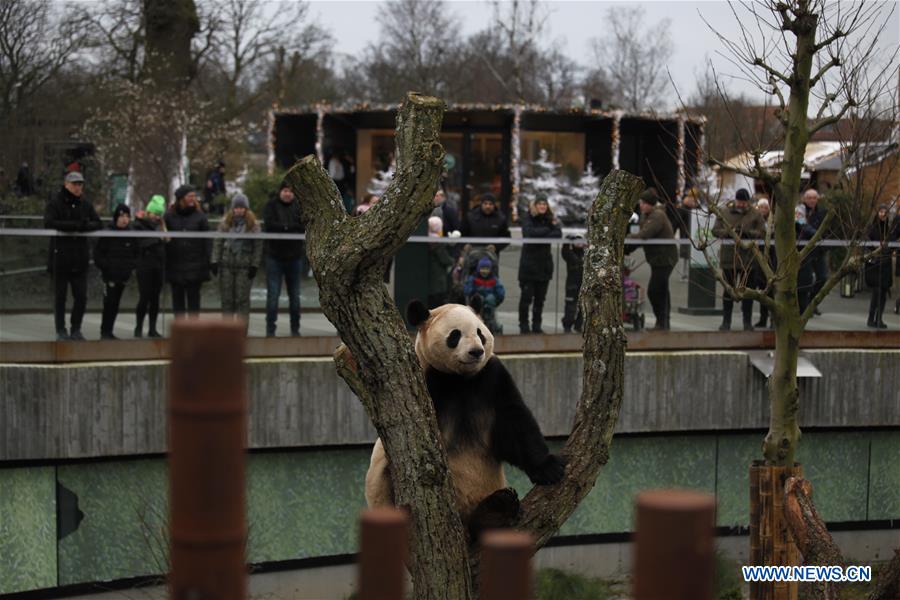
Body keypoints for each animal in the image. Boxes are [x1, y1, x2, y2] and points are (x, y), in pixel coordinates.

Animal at [365, 299, 566, 539]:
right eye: (455, 335)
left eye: (480, 333)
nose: (476, 352)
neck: (460, 379)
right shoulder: (427, 383)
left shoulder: (491, 378)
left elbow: (516, 422)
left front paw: (550, 469)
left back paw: (497, 510)